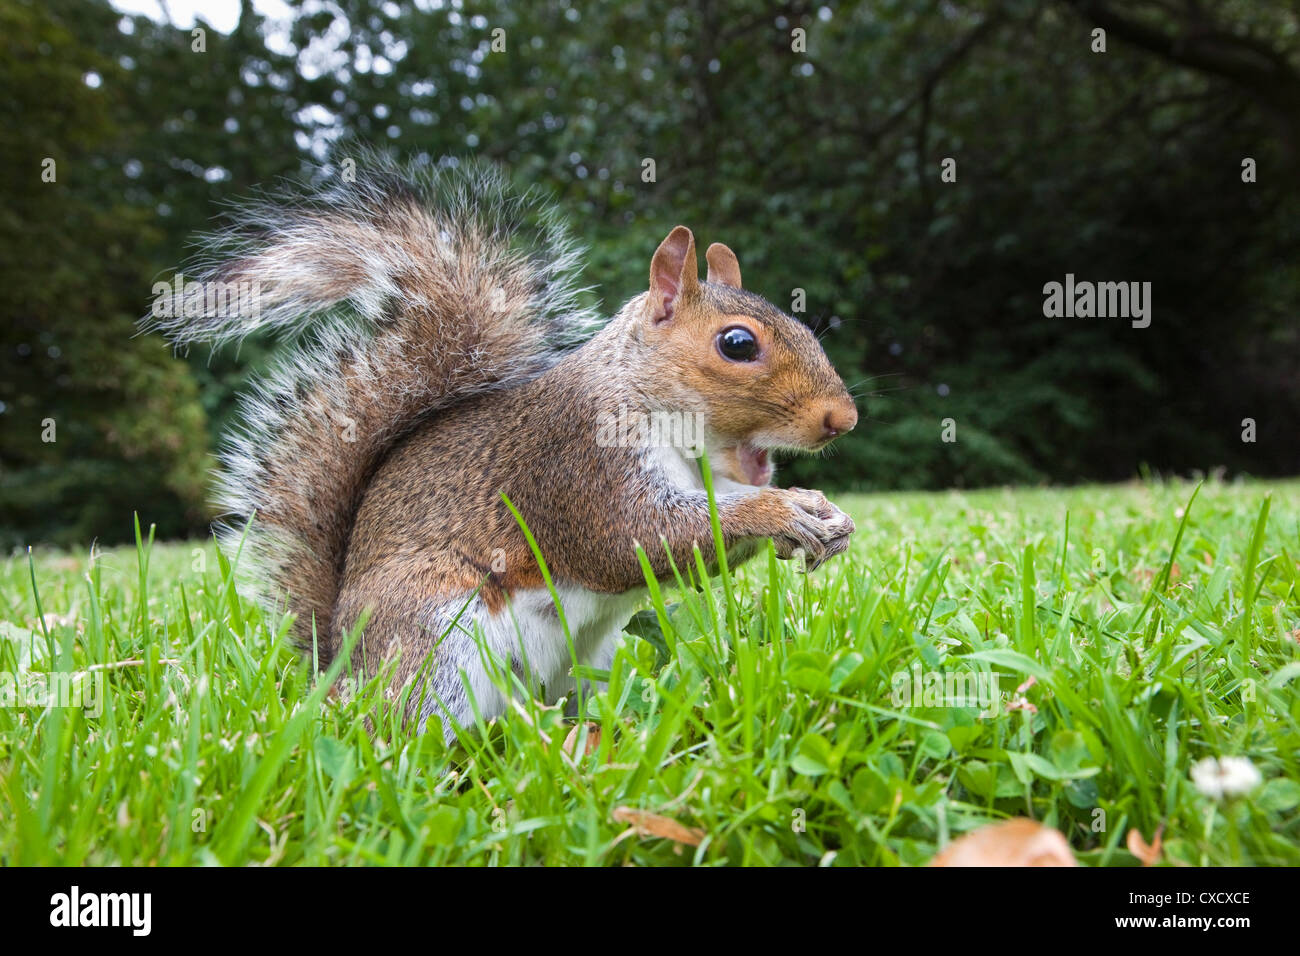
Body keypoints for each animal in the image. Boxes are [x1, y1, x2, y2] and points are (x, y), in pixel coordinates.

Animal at [152, 153, 857, 743]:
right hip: (440, 645)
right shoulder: (579, 466)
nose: (843, 419)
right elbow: (638, 539)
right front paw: (779, 512)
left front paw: (823, 512)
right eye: (737, 344)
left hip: (586, 660)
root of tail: (343, 672)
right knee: (414, 733)